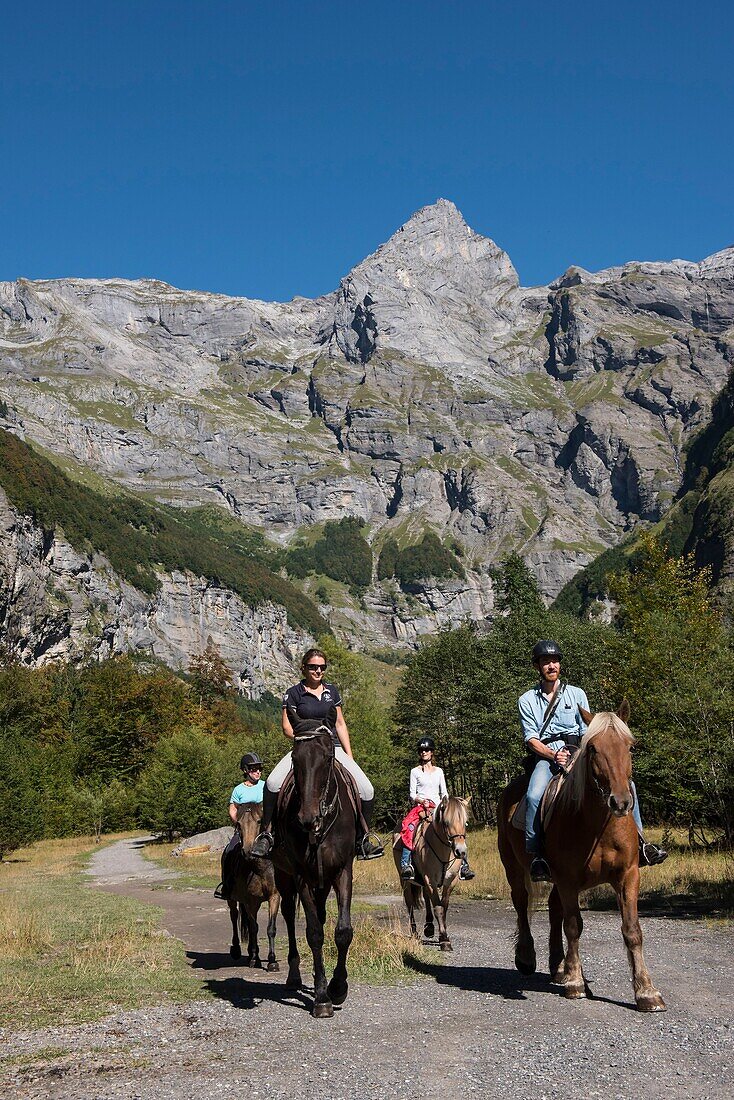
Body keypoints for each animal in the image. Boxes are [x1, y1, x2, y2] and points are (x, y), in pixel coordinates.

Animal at [226, 800, 281, 972]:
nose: (248, 851)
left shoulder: (274, 896)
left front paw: (272, 961)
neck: (260, 868)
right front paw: (255, 960)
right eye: (239, 824)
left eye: (259, 821)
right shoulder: (251, 901)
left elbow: (271, 928)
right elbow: (254, 928)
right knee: (234, 917)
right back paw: (238, 950)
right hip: (232, 899)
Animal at [272, 730, 358, 1020]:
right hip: (283, 877)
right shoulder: (300, 877)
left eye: (327, 758)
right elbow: (314, 934)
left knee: (319, 913)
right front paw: (322, 997)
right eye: (295, 759)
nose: (307, 818)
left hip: (323, 883)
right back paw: (294, 975)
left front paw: (338, 986)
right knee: (288, 915)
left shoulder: (343, 871)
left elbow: (342, 931)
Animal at [499, 704, 664, 1012]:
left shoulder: (628, 875)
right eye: (593, 749)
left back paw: (558, 966)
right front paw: (576, 983)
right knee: (521, 903)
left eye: (631, 747)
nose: (621, 802)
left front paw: (646, 992)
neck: (598, 826)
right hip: (514, 868)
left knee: (554, 910)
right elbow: (574, 926)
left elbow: (632, 930)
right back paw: (527, 958)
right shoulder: (567, 879)